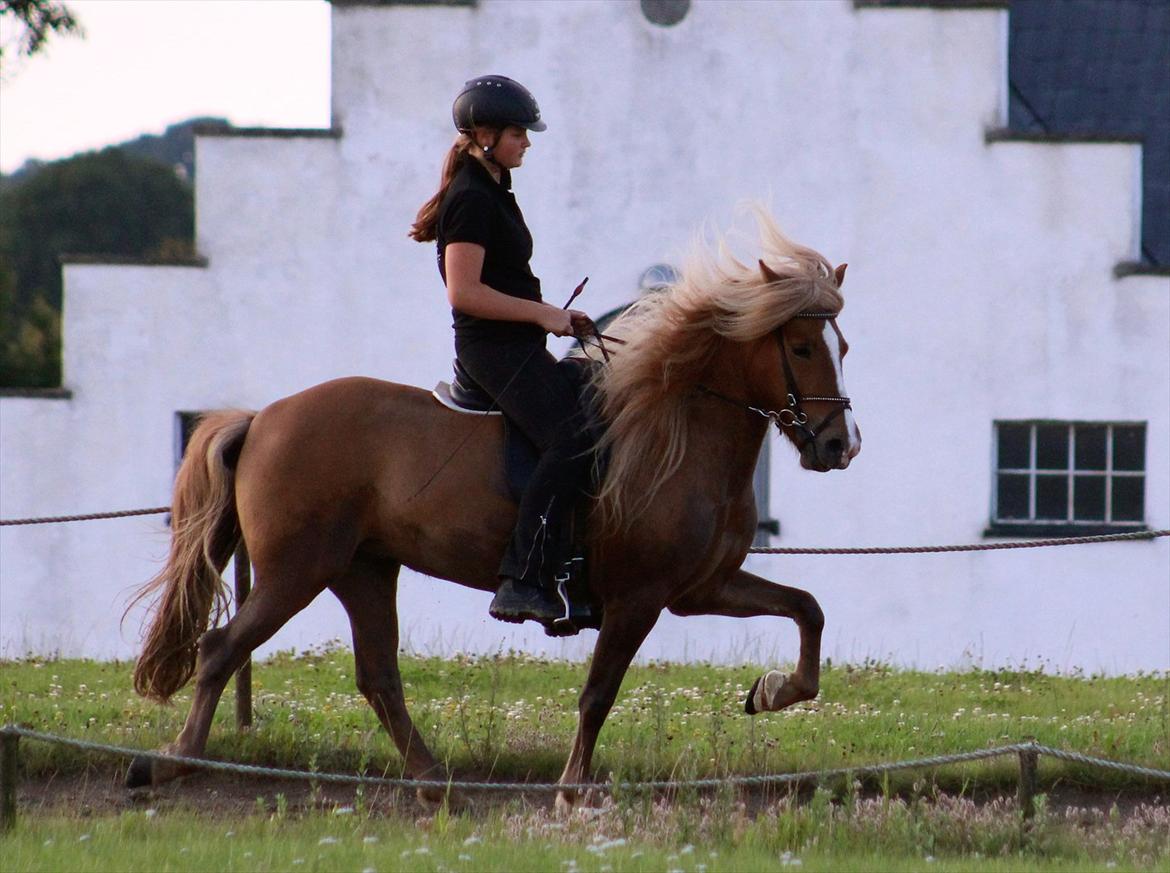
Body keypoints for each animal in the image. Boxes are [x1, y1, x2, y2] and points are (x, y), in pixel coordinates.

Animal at [128, 212, 861, 809]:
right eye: (801, 348)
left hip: (363, 569)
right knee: (222, 648)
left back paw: (437, 784)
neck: (678, 426)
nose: (839, 445)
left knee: (378, 677)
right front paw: (572, 789)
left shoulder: (701, 587)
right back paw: (168, 764)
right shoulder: (640, 596)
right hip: (296, 570)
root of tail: (262, 418)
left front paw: (772, 692)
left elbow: (808, 609)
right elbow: (599, 692)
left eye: (844, 349)